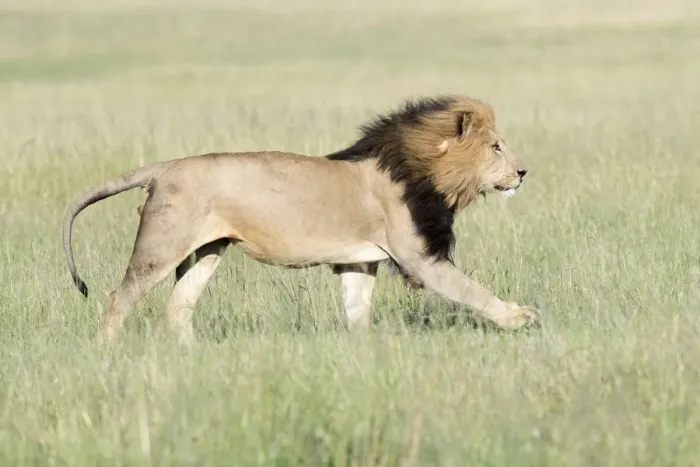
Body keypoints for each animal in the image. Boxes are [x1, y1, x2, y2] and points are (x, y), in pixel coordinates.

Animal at [62, 95, 538, 345]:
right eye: (496, 146)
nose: (521, 172)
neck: (421, 169)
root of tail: (164, 168)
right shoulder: (418, 258)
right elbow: (471, 290)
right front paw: (520, 317)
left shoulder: (358, 260)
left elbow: (357, 309)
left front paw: (364, 351)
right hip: (161, 246)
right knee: (118, 298)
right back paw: (107, 351)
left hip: (206, 250)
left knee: (178, 306)